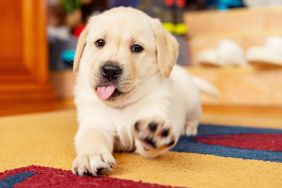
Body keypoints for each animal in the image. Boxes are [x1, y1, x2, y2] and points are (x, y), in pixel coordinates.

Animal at [71, 6, 217, 176]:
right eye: (100, 42)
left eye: (137, 48)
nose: (110, 70)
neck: (121, 106)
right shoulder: (94, 122)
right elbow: (92, 137)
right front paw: (91, 155)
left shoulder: (154, 110)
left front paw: (153, 135)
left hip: (193, 103)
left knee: (195, 117)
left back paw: (189, 128)